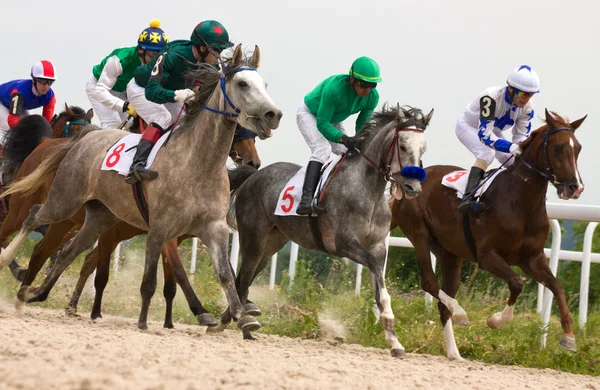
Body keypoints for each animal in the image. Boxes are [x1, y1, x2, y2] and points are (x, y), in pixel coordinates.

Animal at [0, 46, 282, 332]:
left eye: (265, 84)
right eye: (242, 83)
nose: (274, 115)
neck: (199, 162)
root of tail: (86, 136)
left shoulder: (213, 227)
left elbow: (225, 274)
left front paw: (242, 316)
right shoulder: (160, 228)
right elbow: (153, 280)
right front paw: (147, 320)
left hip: (100, 216)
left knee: (68, 252)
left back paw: (32, 294)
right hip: (65, 201)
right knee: (34, 218)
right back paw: (12, 269)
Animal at [220, 106, 432, 356]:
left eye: (423, 148)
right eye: (403, 146)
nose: (413, 188)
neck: (368, 191)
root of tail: (253, 175)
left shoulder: (378, 247)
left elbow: (379, 282)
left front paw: (394, 341)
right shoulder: (343, 243)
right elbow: (374, 269)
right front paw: (389, 319)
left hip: (271, 244)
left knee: (246, 278)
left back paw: (238, 323)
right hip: (253, 238)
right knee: (243, 278)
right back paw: (239, 322)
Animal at [390, 109, 584, 360]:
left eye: (578, 147)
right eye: (558, 147)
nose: (575, 187)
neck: (521, 203)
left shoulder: (533, 258)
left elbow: (557, 286)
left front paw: (569, 336)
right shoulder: (487, 256)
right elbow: (516, 283)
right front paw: (496, 320)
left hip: (449, 255)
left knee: (443, 301)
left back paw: (454, 353)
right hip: (419, 233)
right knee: (429, 283)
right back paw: (460, 313)